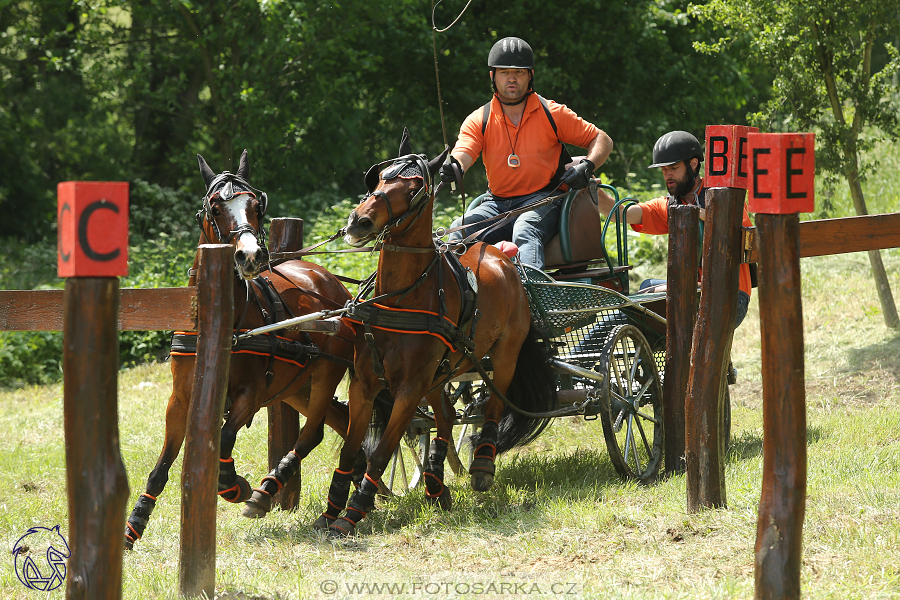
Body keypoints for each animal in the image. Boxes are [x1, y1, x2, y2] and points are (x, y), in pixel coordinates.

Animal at [124, 149, 362, 548]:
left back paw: (268, 491)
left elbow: (223, 440)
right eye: (216, 207)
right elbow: (162, 465)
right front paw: (135, 523)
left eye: (257, 206)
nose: (249, 256)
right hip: (295, 386)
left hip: (327, 370)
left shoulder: (250, 394)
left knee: (314, 432)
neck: (223, 318)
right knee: (344, 424)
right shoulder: (180, 399)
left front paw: (234, 485)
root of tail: (329, 280)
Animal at [316, 130, 556, 536]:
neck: (400, 300)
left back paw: (481, 464)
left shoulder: (408, 390)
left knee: (493, 406)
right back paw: (435, 483)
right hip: (441, 373)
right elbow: (352, 450)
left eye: (414, 186)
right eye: (378, 179)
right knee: (444, 418)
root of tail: (500, 255)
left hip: (504, 355)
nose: (360, 222)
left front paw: (353, 512)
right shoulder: (364, 385)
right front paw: (331, 510)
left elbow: (381, 452)